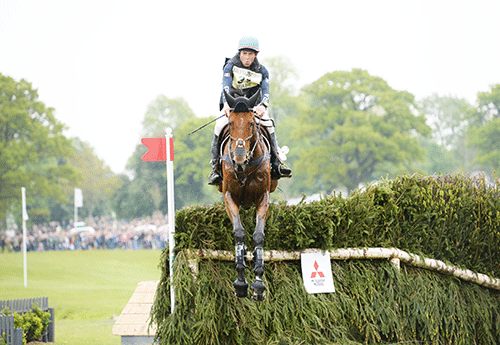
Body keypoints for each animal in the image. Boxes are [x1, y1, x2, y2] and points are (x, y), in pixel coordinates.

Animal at [216, 90, 278, 300]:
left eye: (251, 123)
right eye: (230, 123)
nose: (239, 160)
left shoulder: (263, 197)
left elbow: (258, 236)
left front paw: (258, 284)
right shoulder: (229, 197)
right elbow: (239, 232)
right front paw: (240, 283)